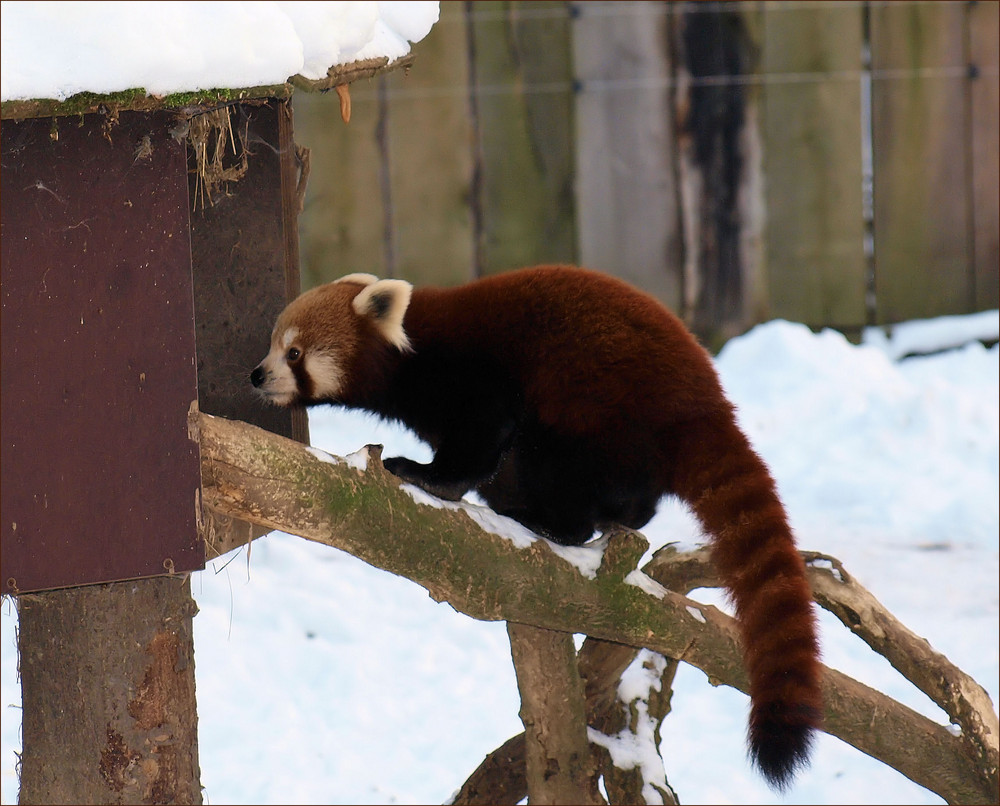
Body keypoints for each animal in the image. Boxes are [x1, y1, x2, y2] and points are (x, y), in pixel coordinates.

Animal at [250, 264, 820, 788]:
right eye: (274, 345)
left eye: (294, 353)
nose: (256, 374)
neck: (411, 355)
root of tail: (705, 403)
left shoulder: (470, 376)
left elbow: (481, 440)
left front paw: (426, 476)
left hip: (594, 404)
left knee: (560, 461)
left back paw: (547, 522)